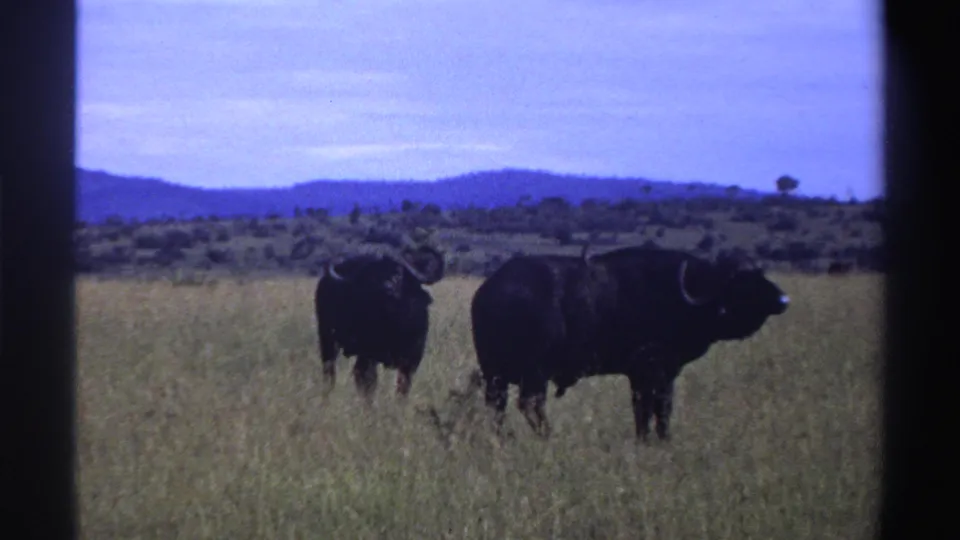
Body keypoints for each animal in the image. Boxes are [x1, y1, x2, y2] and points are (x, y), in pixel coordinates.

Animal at [314, 244, 445, 401]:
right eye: (373, 277)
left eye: (398, 274)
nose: (387, 288)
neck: (393, 324)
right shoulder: (369, 356)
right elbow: (368, 384)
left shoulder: (413, 357)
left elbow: (403, 386)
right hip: (327, 339)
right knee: (330, 371)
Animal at [469, 244, 789, 441]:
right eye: (742, 280)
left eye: (760, 273)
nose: (783, 300)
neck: (684, 294)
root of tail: (489, 292)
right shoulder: (654, 371)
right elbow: (657, 408)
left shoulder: (645, 376)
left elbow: (646, 410)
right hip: (534, 373)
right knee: (530, 404)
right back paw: (548, 435)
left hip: (496, 374)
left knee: (498, 406)